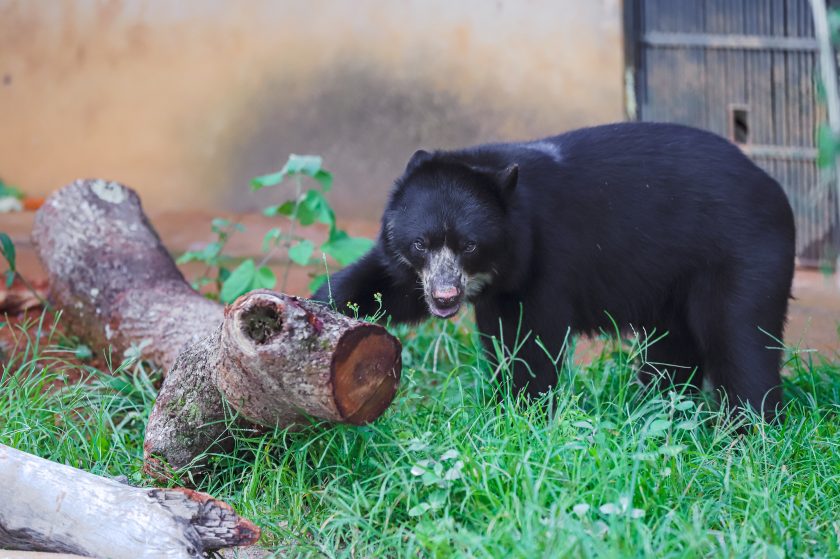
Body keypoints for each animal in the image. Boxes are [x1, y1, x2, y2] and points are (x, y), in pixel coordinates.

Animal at [314, 122, 796, 420]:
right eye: (420, 244)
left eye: (470, 245)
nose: (445, 297)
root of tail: (777, 191)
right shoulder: (423, 272)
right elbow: (386, 286)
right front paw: (316, 311)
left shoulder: (545, 262)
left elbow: (531, 343)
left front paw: (517, 414)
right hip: (675, 283)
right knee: (673, 347)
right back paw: (656, 409)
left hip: (741, 257)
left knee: (741, 340)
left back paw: (747, 432)